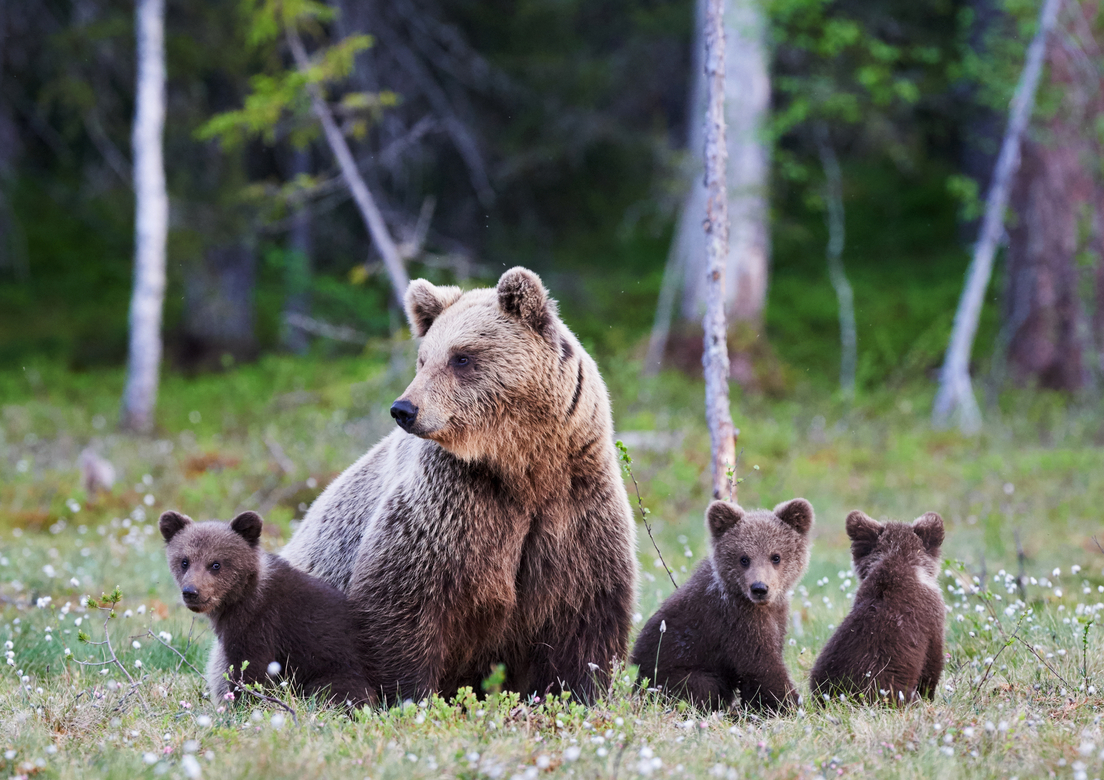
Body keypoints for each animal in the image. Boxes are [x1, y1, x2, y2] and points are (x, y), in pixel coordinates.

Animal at [159, 510, 375, 707]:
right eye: (184, 561)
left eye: (216, 564)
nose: (191, 592)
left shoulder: (261, 625)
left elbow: (250, 669)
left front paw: (240, 704)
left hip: (337, 669)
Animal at [280, 267, 638, 703]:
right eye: (423, 359)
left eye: (461, 357)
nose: (404, 409)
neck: (523, 468)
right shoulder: (451, 506)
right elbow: (403, 603)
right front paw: (408, 695)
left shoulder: (575, 507)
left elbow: (584, 617)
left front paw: (579, 692)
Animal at [630, 498, 814, 714]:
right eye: (744, 558)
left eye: (776, 556)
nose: (759, 588)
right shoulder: (736, 621)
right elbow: (761, 666)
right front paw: (794, 705)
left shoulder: (776, 615)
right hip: (669, 673)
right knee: (703, 686)